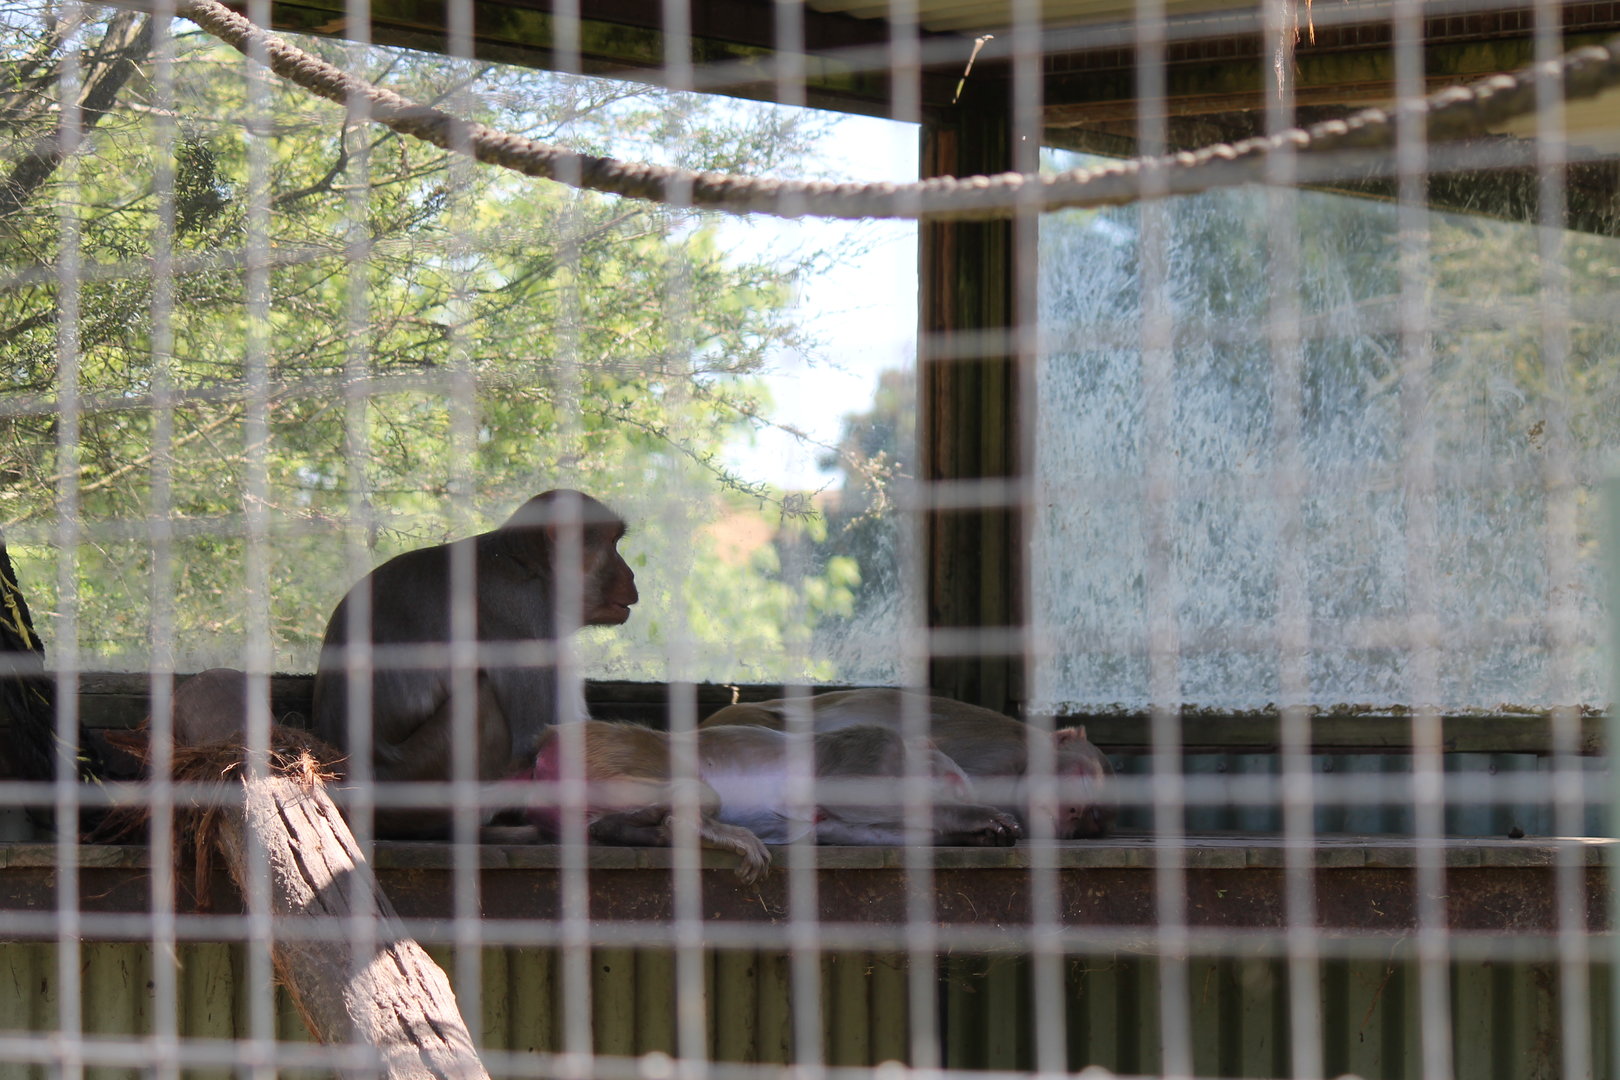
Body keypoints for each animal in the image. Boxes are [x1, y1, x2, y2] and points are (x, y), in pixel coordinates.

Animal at [311, 490, 638, 840]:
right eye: (613, 544)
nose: (631, 573)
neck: (530, 568)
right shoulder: (525, 617)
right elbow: (540, 741)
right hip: (419, 775)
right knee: (483, 699)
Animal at [522, 719, 1022, 882]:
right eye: (953, 780)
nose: (962, 790)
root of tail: (544, 746)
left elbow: (850, 829)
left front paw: (979, 836)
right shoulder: (871, 749)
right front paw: (978, 817)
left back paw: (635, 828)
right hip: (613, 752)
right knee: (695, 789)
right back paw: (692, 824)